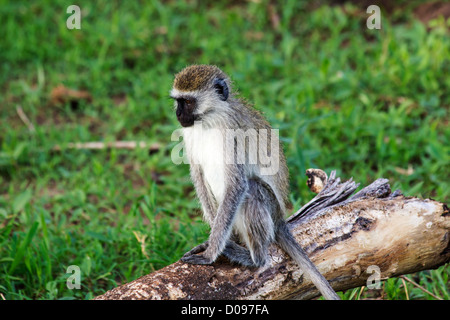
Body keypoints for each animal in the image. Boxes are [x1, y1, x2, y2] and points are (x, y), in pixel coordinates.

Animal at [171, 65, 340, 300]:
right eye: (178, 101)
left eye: (187, 102)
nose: (178, 114)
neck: (209, 121)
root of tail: (280, 220)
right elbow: (198, 177)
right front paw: (214, 241)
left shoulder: (233, 133)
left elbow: (237, 184)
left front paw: (210, 254)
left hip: (271, 208)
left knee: (252, 188)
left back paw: (254, 259)